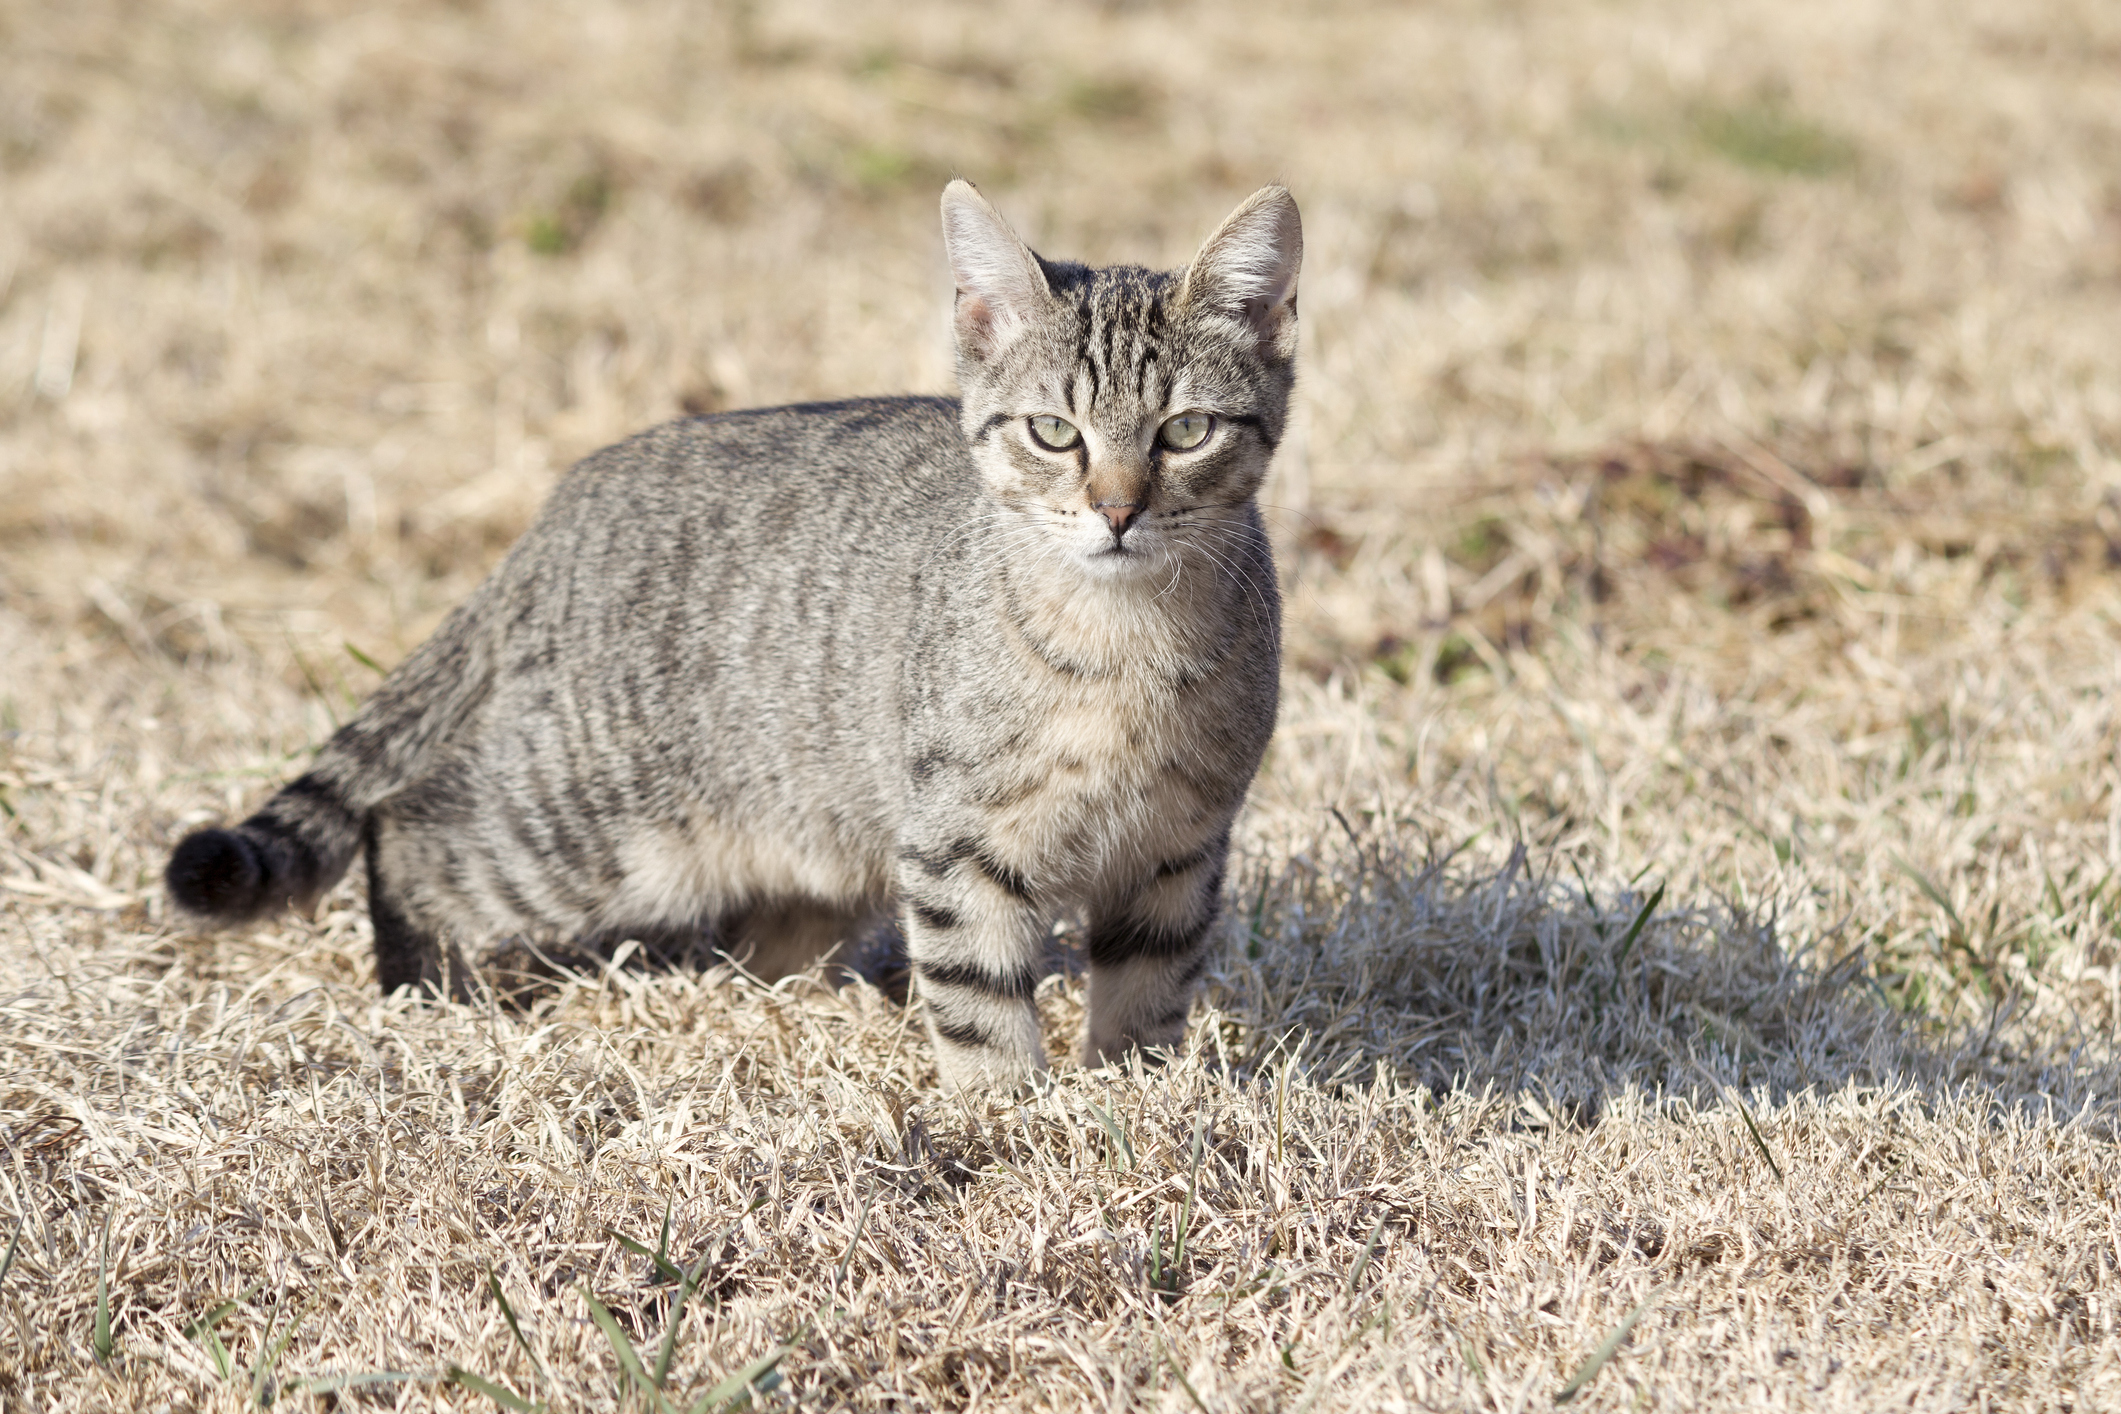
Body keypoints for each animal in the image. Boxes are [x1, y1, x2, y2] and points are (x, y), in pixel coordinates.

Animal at [165, 173, 1298, 1085]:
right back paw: (425, 991)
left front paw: (1135, 1101)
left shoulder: (1180, 848)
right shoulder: (954, 842)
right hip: (584, 825)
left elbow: (1148, 993)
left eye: (1185, 430)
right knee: (409, 827)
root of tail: (553, 515)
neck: (1122, 644)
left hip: (809, 842)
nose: (1117, 510)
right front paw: (1007, 1116)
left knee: (765, 942)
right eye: (1054, 432)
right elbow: (979, 1000)